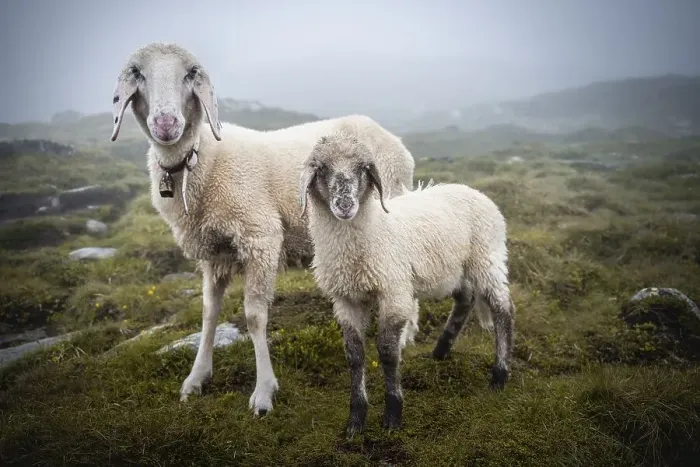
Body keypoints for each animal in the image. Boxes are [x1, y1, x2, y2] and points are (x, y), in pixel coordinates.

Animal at [110, 42, 415, 415]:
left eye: (190, 74)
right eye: (138, 74)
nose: (166, 124)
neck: (200, 159)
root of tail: (391, 137)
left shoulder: (259, 237)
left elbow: (255, 317)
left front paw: (264, 392)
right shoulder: (214, 252)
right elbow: (208, 312)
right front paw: (196, 378)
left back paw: (404, 335)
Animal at [299, 131, 515, 436]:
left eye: (363, 168)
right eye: (321, 168)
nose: (345, 205)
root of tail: (473, 191)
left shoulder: (394, 292)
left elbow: (388, 352)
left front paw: (392, 414)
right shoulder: (345, 300)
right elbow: (354, 355)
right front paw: (355, 420)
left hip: (487, 258)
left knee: (502, 309)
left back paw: (499, 375)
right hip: (455, 268)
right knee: (466, 299)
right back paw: (440, 351)